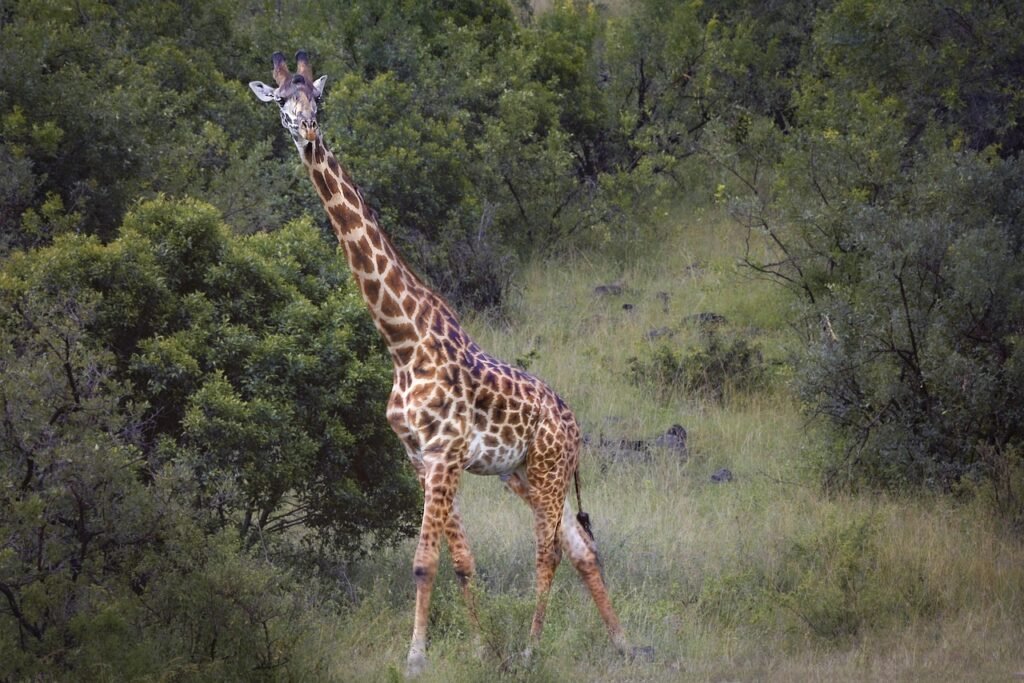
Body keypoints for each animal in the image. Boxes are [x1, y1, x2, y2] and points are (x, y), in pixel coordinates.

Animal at [250, 52, 629, 676]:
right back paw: (621, 643)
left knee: (549, 550)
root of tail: (575, 423)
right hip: (520, 474)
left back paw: (531, 650)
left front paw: (417, 660)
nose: (306, 134)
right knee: (582, 548)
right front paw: (478, 648)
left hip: (549, 470)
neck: (402, 343)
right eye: (282, 102)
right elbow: (461, 561)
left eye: (318, 100)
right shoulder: (419, 459)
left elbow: (425, 563)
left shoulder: (445, 455)